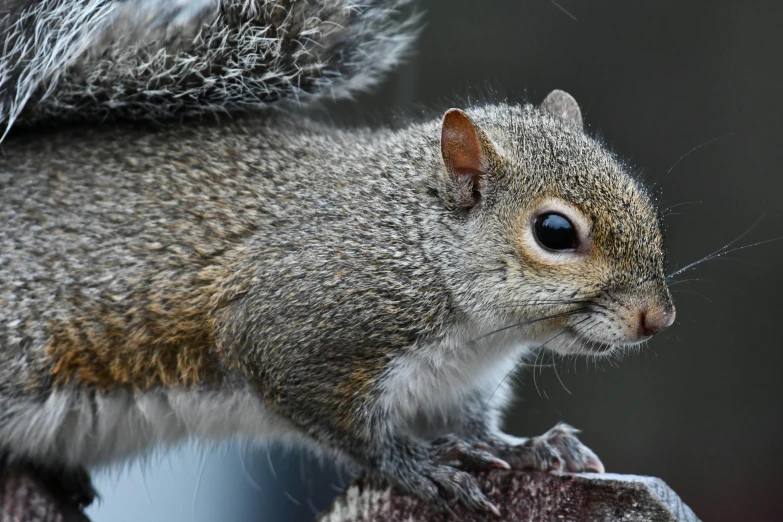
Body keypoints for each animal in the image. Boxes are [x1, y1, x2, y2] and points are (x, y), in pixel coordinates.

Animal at [0, 0, 676, 516]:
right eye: (554, 231)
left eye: (641, 196)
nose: (658, 319)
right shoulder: (298, 333)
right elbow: (347, 427)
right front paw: (417, 465)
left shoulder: (460, 383)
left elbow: (475, 428)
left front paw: (524, 448)